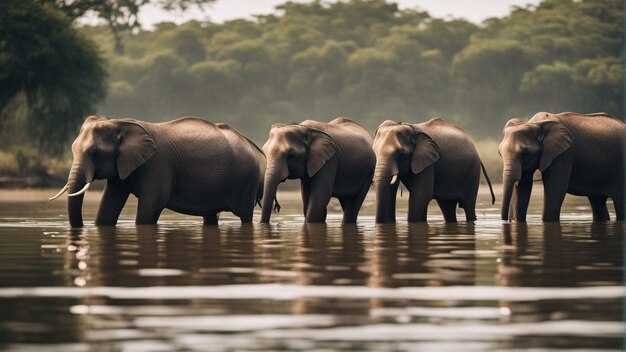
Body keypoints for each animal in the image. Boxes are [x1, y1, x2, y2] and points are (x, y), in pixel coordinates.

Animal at [48, 114, 264, 227]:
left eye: (96, 153)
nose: (82, 226)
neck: (119, 122)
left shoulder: (157, 165)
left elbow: (152, 204)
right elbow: (109, 203)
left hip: (247, 179)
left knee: (245, 215)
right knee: (210, 216)